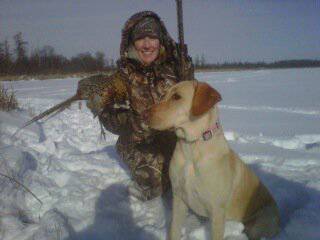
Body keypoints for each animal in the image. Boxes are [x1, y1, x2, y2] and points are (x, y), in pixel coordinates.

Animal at [146, 80, 278, 240]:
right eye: (163, 96)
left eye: (176, 97)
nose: (144, 113)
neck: (191, 148)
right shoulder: (178, 198)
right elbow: (174, 231)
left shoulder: (217, 211)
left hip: (259, 224)